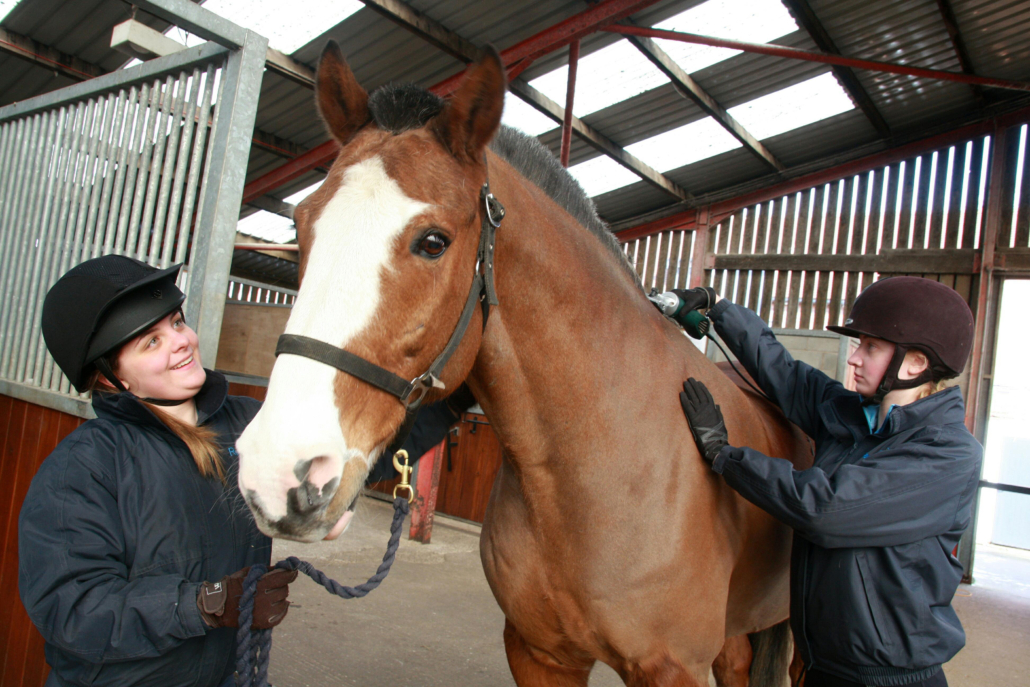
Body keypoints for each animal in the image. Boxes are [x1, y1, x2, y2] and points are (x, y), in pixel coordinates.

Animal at [233, 44, 811, 687]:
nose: (276, 475)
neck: (596, 467)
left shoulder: (673, 668)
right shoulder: (539, 652)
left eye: (433, 242)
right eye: (301, 228)